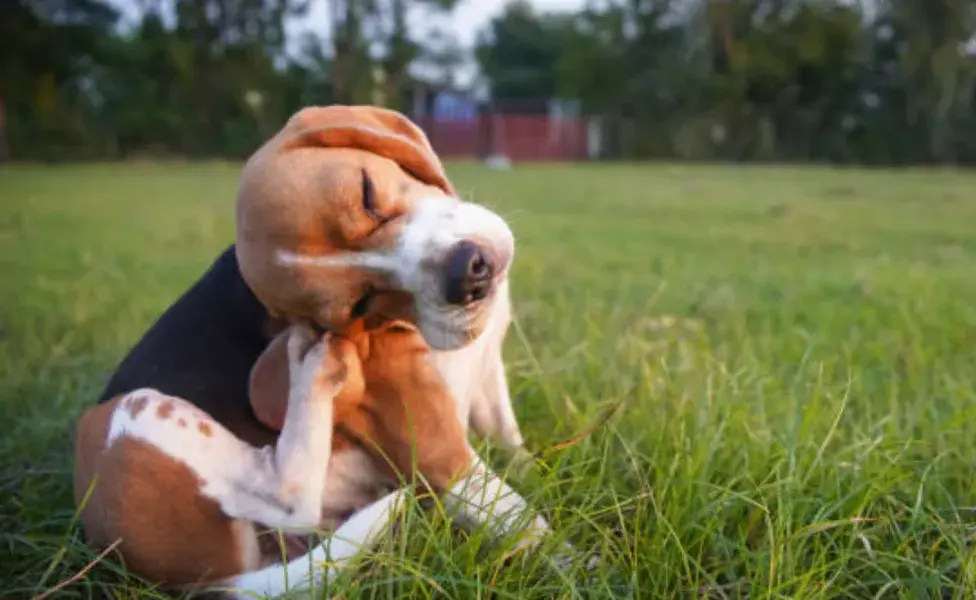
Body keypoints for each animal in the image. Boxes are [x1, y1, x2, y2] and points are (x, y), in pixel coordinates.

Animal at [74, 108, 572, 600]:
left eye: (367, 194)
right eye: (361, 304)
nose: (468, 275)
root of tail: (205, 582)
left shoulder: (487, 376)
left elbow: (510, 441)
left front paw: (535, 471)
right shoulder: (442, 456)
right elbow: (529, 525)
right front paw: (577, 565)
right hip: (132, 415)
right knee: (287, 498)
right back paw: (313, 367)